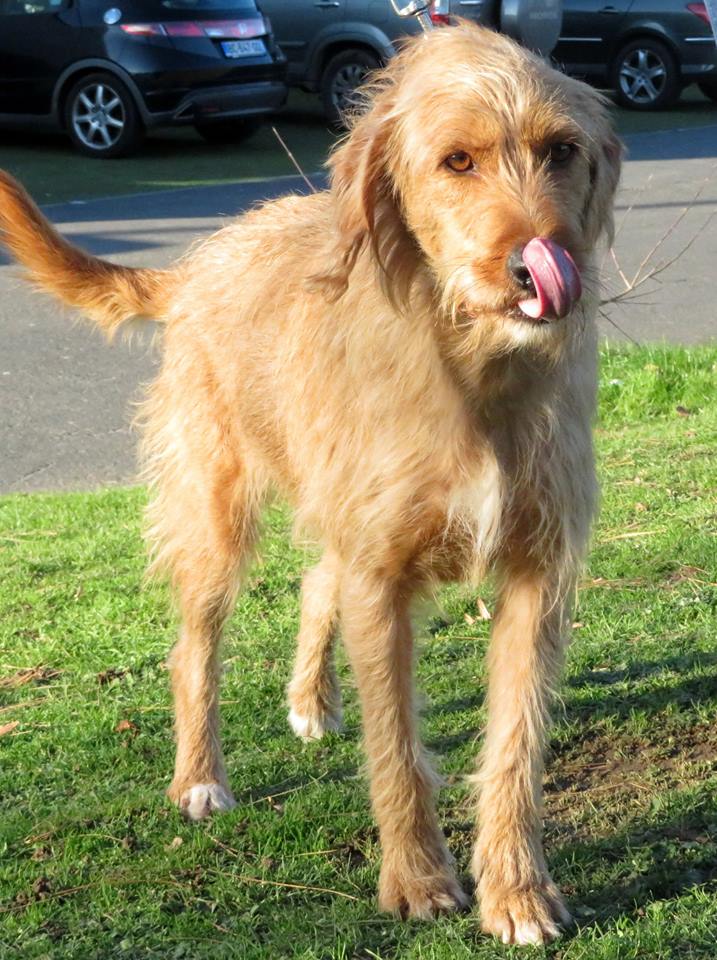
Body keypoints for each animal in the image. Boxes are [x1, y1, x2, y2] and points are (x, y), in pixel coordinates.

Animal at [0, 20, 620, 944]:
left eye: (561, 150)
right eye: (457, 161)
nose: (537, 265)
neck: (469, 371)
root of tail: (200, 261)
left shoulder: (536, 576)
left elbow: (514, 746)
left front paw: (515, 892)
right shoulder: (381, 578)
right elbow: (395, 744)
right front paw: (415, 878)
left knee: (313, 581)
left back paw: (309, 700)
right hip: (215, 518)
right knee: (194, 649)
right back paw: (199, 778)